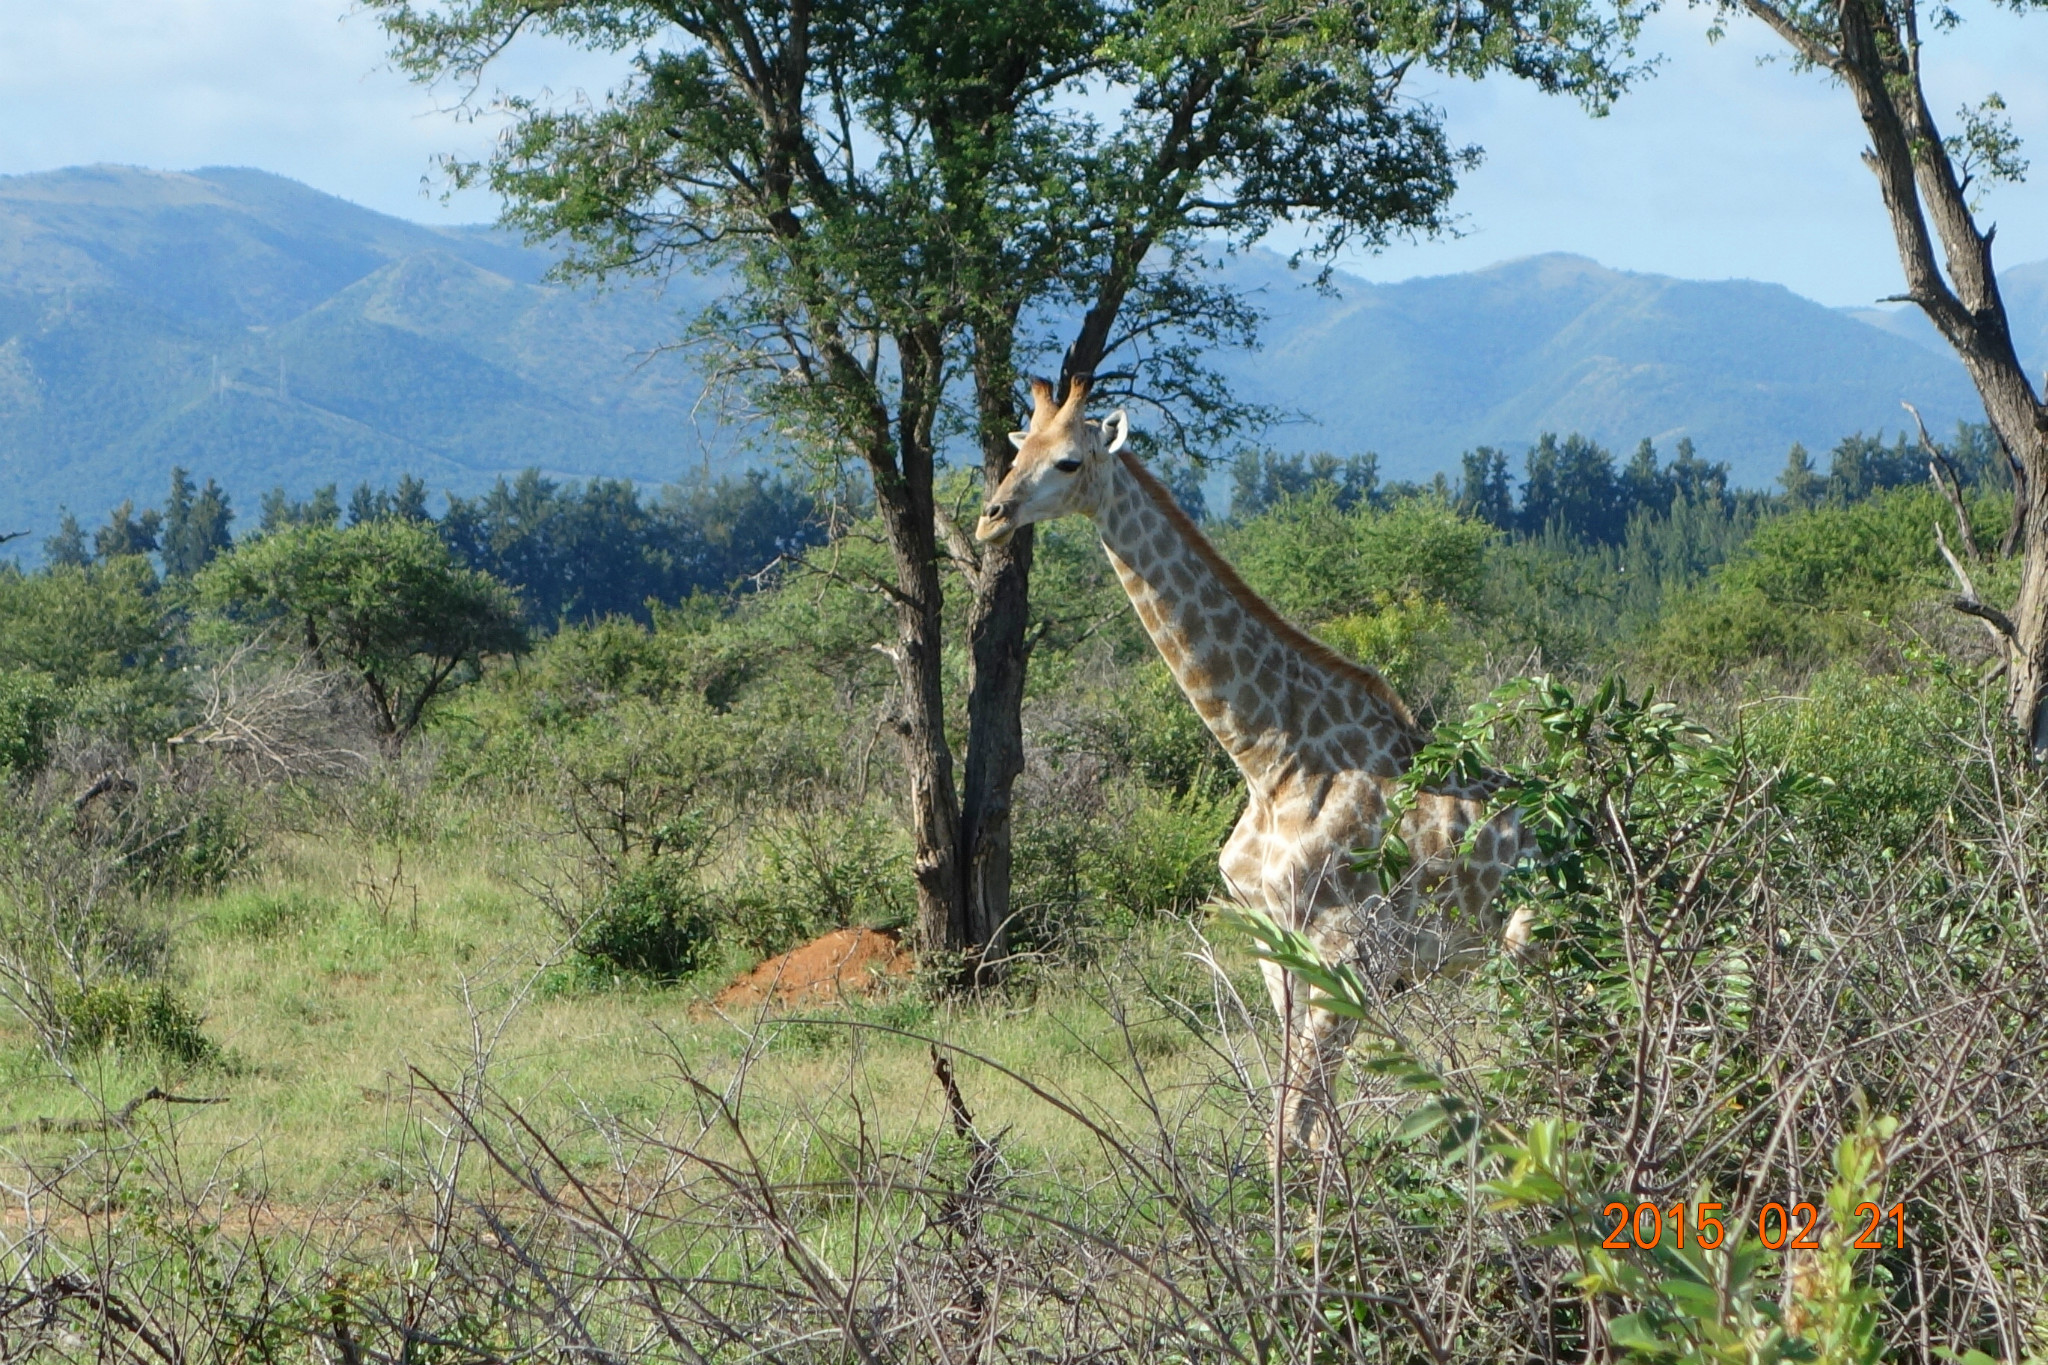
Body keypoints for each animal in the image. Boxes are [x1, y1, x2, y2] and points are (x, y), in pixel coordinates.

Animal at [978, 376, 1540, 1162]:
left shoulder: (1346, 953)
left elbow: (1297, 1125)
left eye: (1067, 461)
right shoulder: (1276, 951)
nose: (990, 519)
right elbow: (1306, 1126)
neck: (1268, 758)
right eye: (1016, 451)